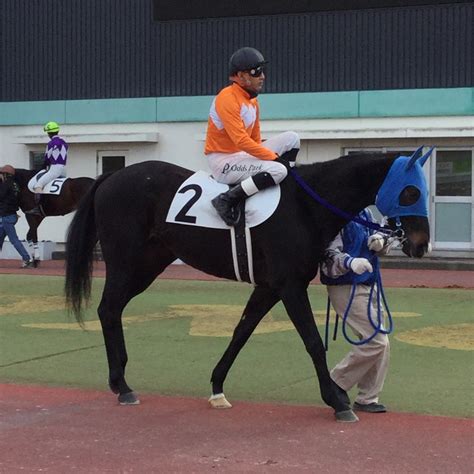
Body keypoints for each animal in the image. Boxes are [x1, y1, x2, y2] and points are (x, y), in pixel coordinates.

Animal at [65, 152, 432, 422]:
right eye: (410, 192)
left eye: (422, 191)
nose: (421, 244)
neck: (306, 206)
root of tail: (112, 177)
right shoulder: (290, 286)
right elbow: (313, 342)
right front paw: (336, 400)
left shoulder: (270, 287)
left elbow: (241, 332)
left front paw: (217, 386)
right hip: (126, 263)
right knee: (108, 309)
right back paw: (122, 384)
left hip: (148, 264)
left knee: (112, 309)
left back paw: (120, 381)